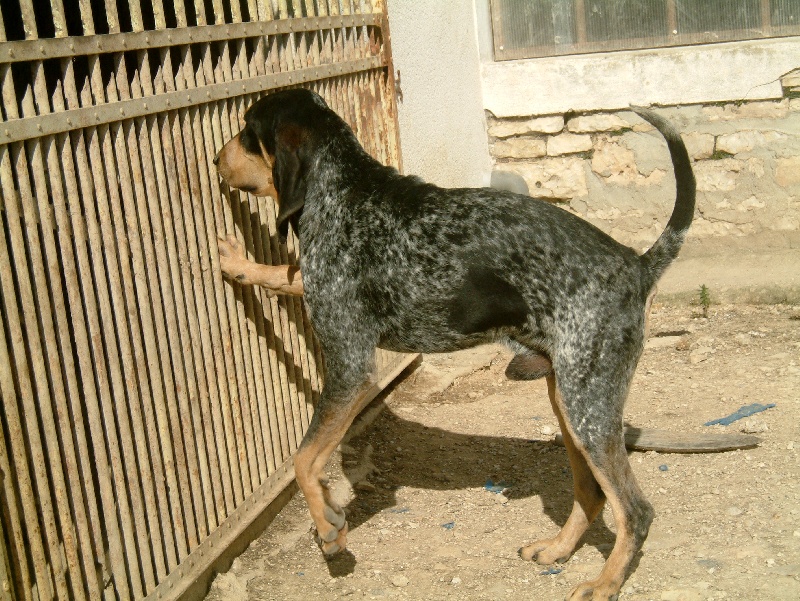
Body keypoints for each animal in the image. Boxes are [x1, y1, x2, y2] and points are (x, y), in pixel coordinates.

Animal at [214, 88, 695, 600]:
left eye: (247, 130)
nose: (215, 159)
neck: (344, 189)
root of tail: (638, 264)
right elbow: (284, 275)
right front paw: (239, 265)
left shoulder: (351, 366)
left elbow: (305, 460)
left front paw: (328, 527)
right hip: (570, 400)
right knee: (591, 494)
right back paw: (557, 550)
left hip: (589, 407)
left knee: (635, 510)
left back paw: (604, 584)